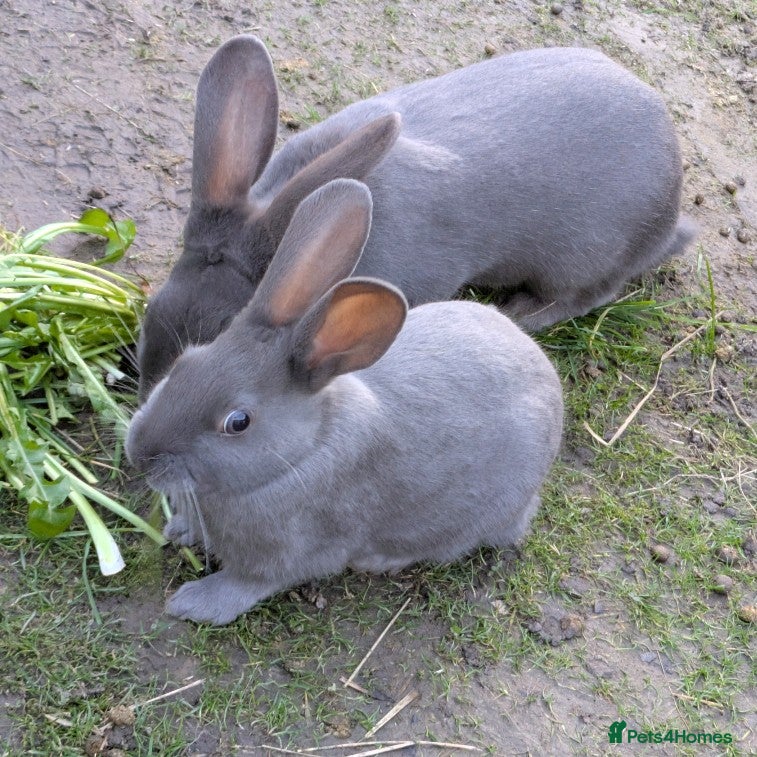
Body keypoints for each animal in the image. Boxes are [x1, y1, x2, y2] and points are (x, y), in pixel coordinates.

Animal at [126, 178, 564, 626]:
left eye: (238, 422)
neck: (301, 451)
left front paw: (192, 603)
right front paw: (178, 531)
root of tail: (551, 386)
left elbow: (246, 583)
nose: (139, 455)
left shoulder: (284, 555)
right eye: (185, 361)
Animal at [136, 34, 695, 401]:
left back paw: (521, 311)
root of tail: (669, 220)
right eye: (152, 310)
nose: (148, 394)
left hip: (580, 260)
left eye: (218, 336)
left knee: (583, 296)